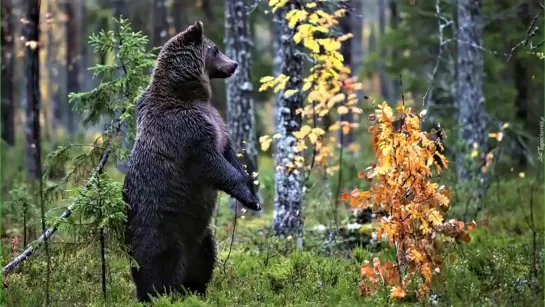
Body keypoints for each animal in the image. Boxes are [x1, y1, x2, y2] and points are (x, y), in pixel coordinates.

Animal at [122, 21, 260, 304]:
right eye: (215, 49)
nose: (234, 64)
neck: (189, 94)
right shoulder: (186, 132)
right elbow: (212, 164)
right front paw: (249, 197)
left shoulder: (217, 123)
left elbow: (229, 154)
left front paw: (252, 190)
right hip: (160, 224)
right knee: (159, 262)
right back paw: (159, 294)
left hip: (202, 236)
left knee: (205, 258)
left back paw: (196, 290)